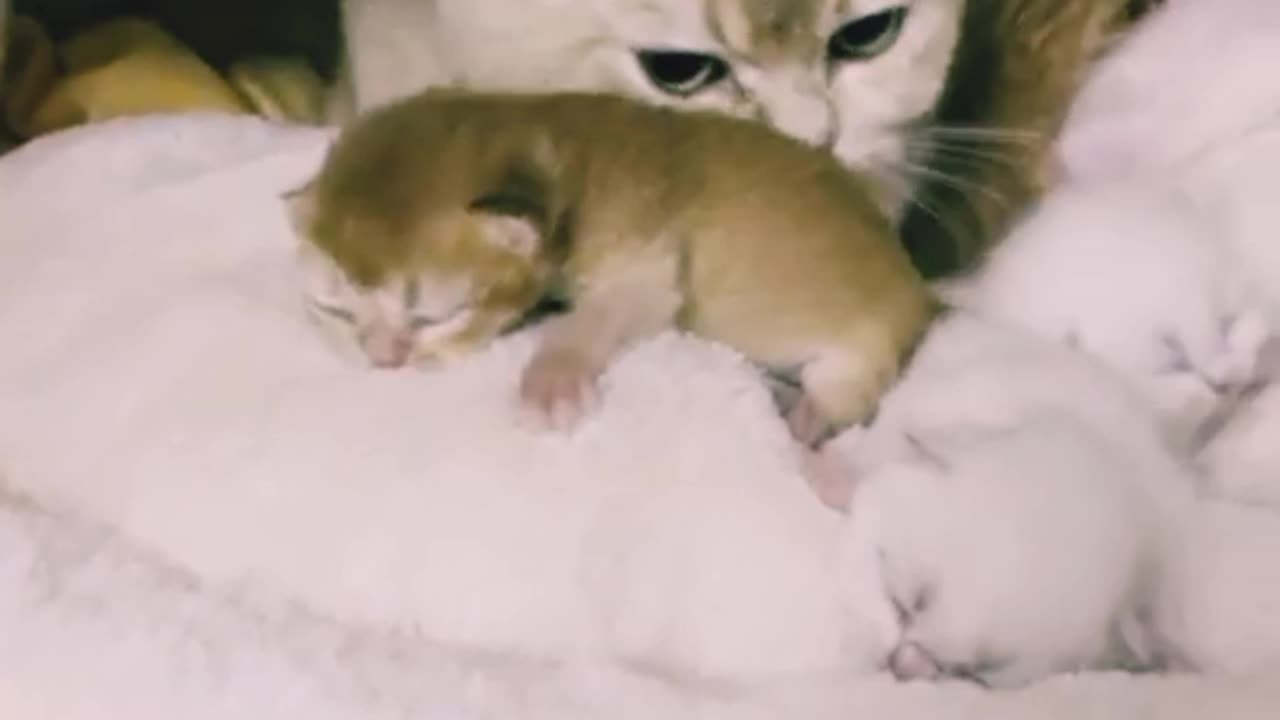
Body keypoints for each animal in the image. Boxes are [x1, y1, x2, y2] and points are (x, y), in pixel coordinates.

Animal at [288, 87, 931, 440]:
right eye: (336, 311)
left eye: (435, 317)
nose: (382, 360)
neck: (566, 146)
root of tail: (920, 289)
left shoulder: (646, 269)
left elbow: (586, 323)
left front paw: (551, 384)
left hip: (861, 356)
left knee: (839, 404)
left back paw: (807, 435)